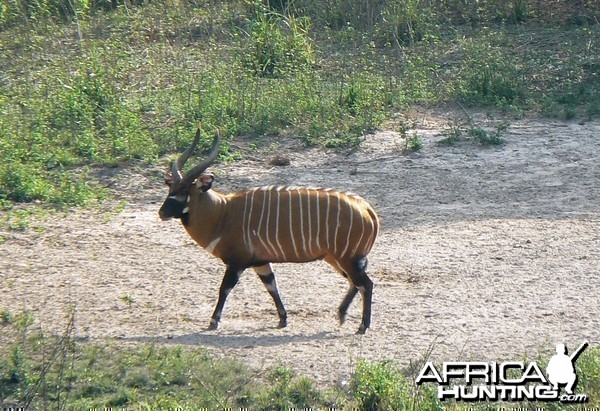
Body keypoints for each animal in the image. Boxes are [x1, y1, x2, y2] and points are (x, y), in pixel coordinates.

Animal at [157, 129, 378, 334]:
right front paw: (283, 319)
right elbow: (272, 287)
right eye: (170, 189)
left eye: (184, 191)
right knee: (355, 283)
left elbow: (224, 289)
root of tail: (367, 209)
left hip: (346, 258)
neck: (222, 213)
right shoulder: (260, 262)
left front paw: (213, 322)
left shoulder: (237, 262)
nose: (162, 213)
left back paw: (362, 326)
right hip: (336, 258)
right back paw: (341, 315)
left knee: (366, 284)